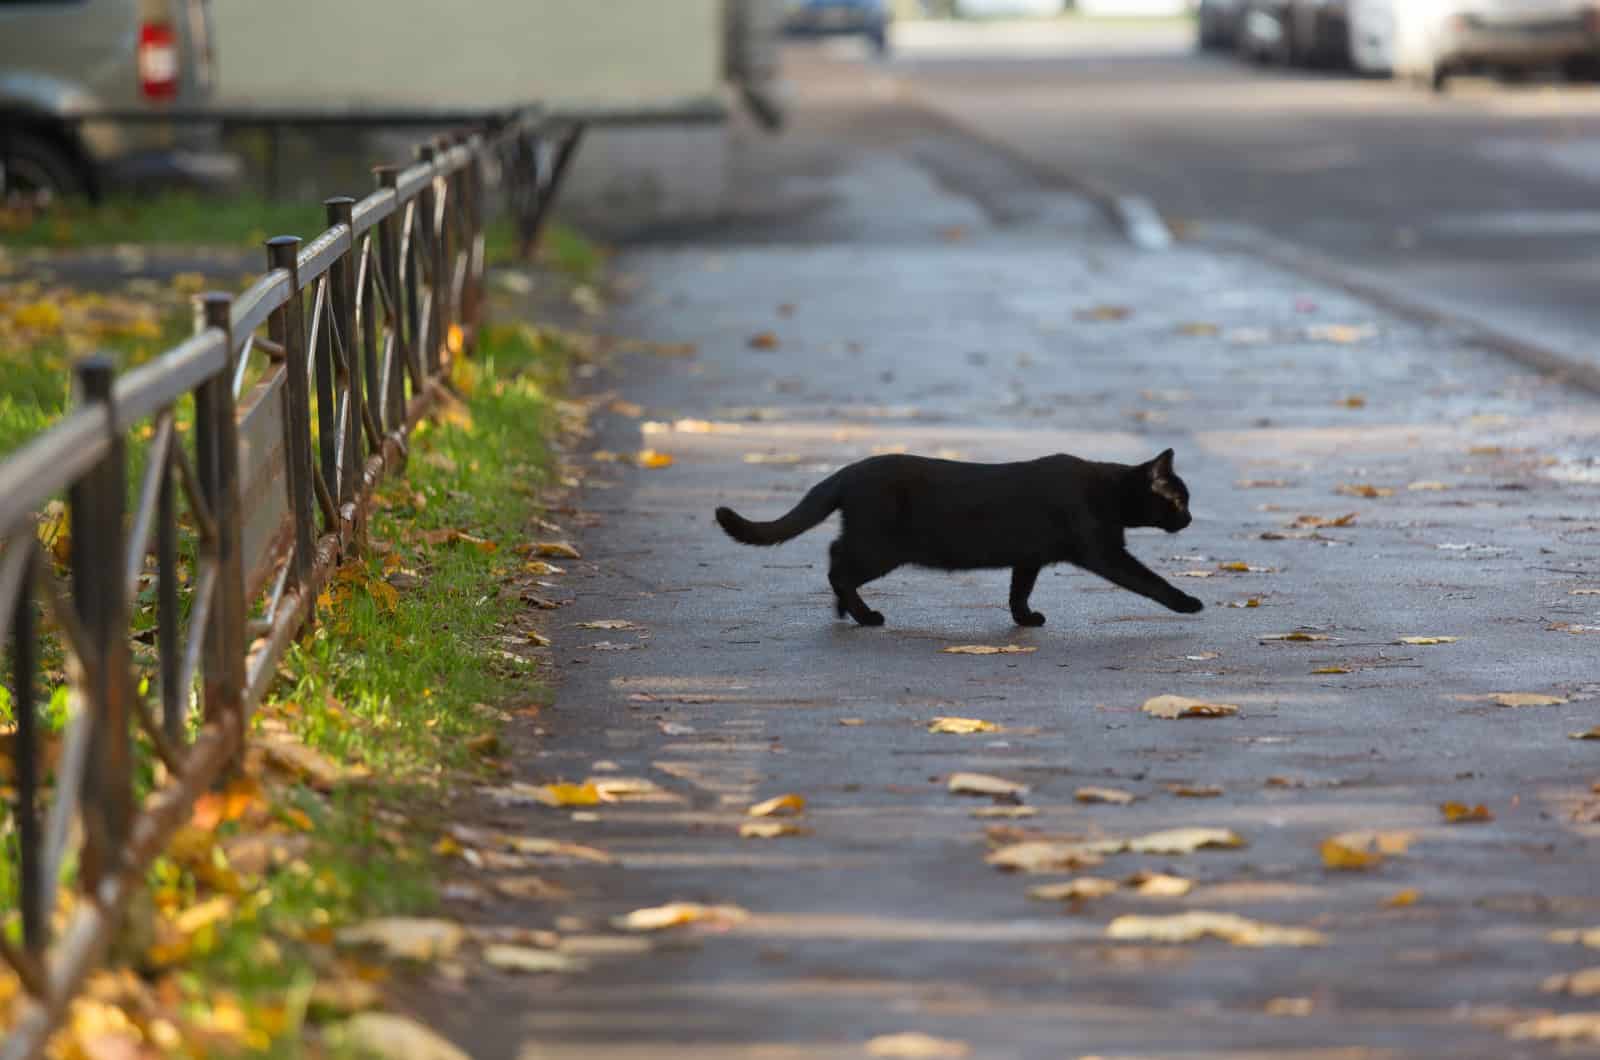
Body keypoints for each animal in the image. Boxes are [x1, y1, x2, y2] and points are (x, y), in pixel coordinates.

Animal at [713, 451, 1203, 630]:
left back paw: (844, 611)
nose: (1190, 518)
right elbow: (1149, 580)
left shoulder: (1029, 556)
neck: (1109, 490)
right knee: (837, 563)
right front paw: (1188, 603)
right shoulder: (1103, 550)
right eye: (1179, 499)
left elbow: (1019, 590)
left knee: (836, 559)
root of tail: (849, 471)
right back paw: (865, 615)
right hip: (881, 547)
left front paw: (1025, 619)